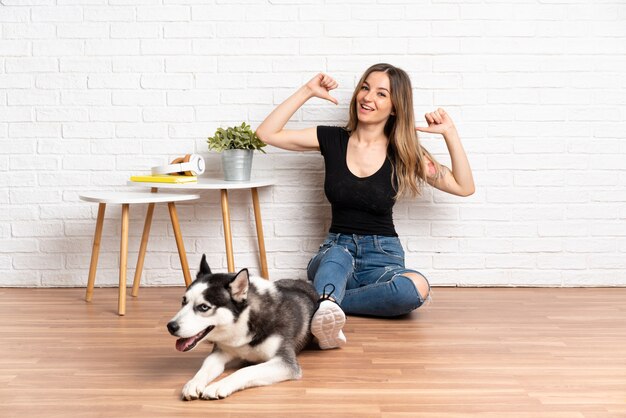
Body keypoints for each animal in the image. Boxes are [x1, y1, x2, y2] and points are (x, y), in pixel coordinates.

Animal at [166, 253, 316, 400]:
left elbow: (247, 370)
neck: (243, 323)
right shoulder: (220, 351)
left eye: (203, 307)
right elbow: (205, 367)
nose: (170, 326)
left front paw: (219, 385)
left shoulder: (285, 362)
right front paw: (194, 383)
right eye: (183, 301)